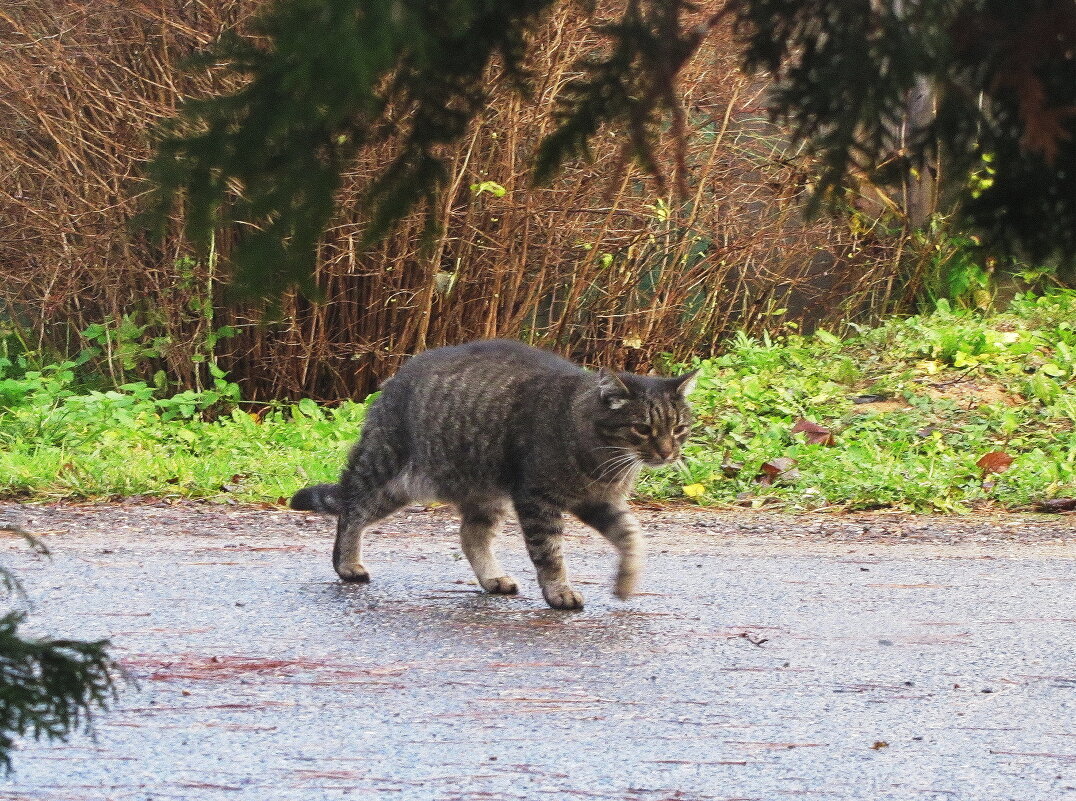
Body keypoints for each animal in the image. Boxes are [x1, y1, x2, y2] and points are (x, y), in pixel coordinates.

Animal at [292, 338, 697, 607]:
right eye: (642, 429)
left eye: (679, 428)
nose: (668, 452)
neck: (603, 460)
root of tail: (400, 372)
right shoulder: (537, 498)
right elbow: (549, 552)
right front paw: (559, 591)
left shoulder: (601, 501)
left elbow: (632, 536)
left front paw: (627, 581)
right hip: (389, 472)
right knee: (351, 509)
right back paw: (347, 564)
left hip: (482, 492)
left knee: (471, 535)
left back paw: (492, 578)